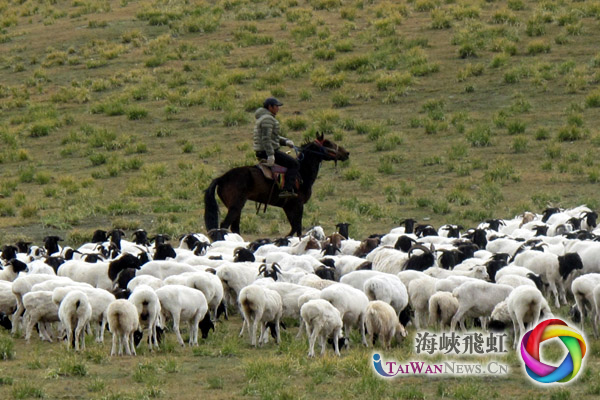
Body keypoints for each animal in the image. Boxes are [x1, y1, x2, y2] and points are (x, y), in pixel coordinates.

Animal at [204, 133, 350, 236]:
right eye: (328, 143)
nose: (346, 153)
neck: (302, 172)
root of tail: (222, 178)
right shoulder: (298, 205)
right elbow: (297, 228)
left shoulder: (288, 207)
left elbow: (294, 228)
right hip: (235, 206)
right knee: (224, 225)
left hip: (236, 207)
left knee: (234, 227)